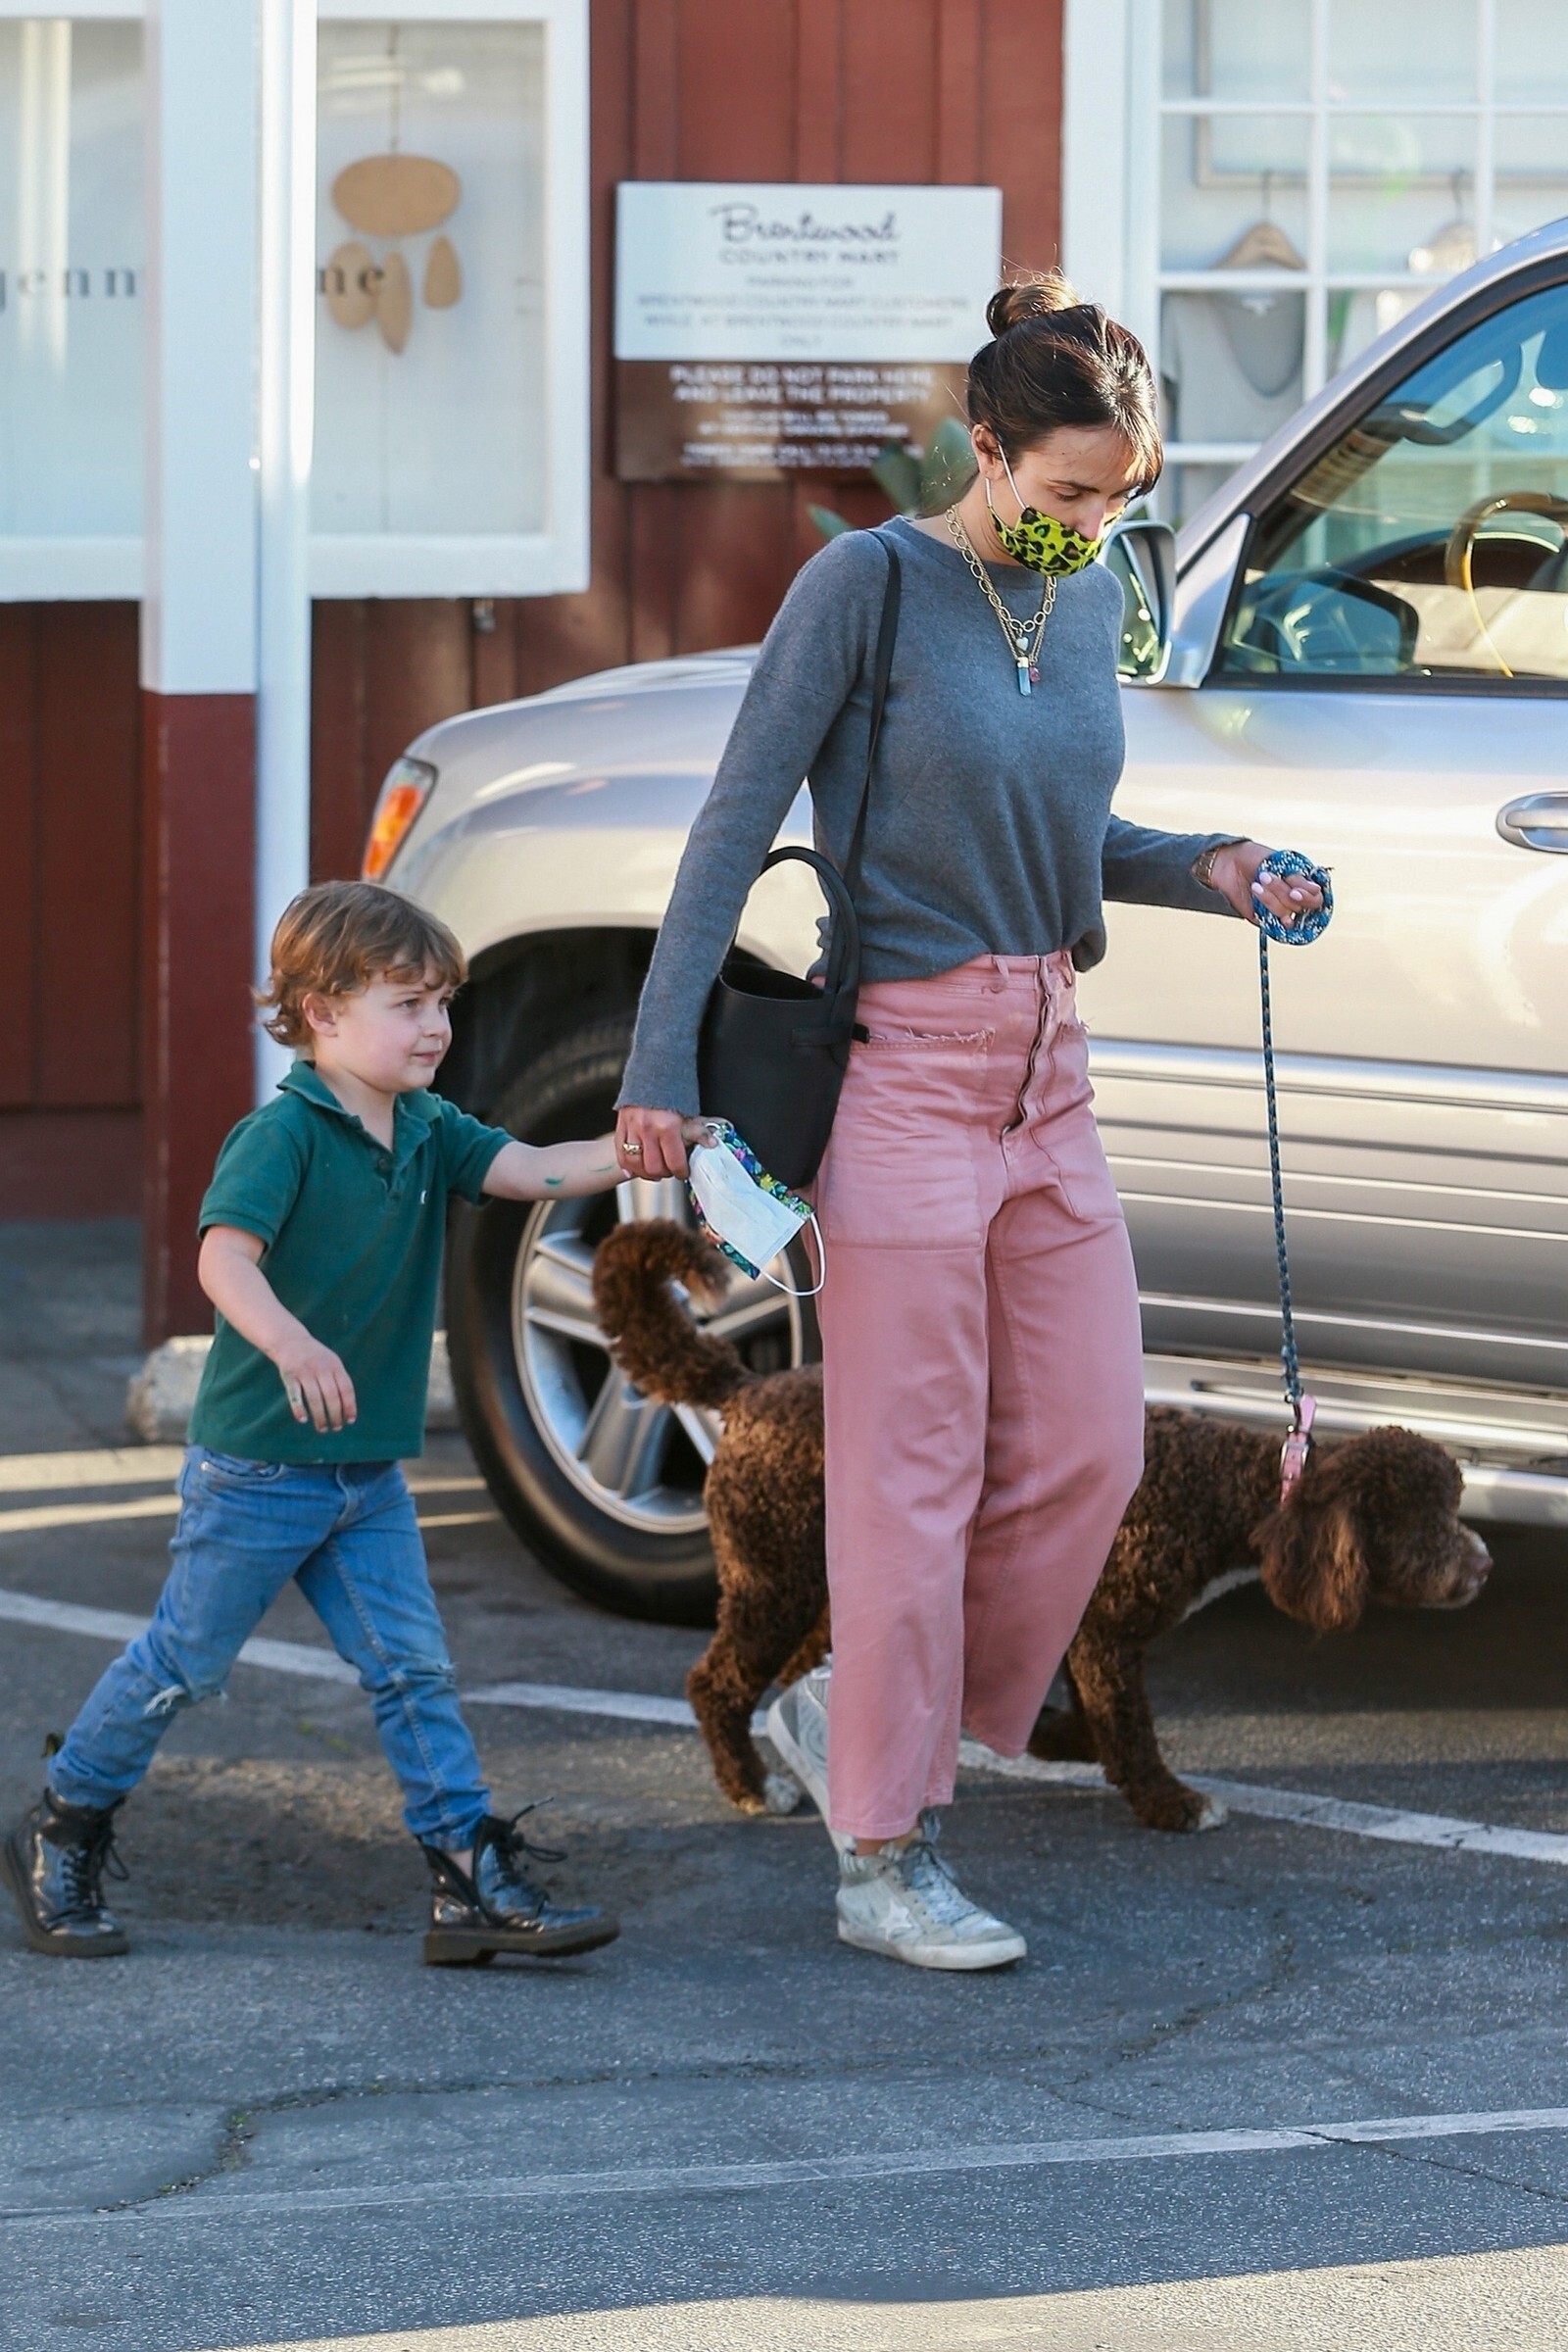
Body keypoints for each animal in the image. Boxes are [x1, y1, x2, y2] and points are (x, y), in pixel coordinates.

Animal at [592, 1220, 1491, 1833]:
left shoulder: (1069, 1608)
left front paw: (1061, 1737)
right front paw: (1168, 1800)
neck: (1221, 1488)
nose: (1483, 1563)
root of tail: (747, 1389)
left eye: (1457, 1506)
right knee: (717, 1683)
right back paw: (754, 1785)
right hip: (771, 1575)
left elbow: (1082, 1702)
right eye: (1428, 1522)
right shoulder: (1107, 1626)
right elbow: (1127, 1721)